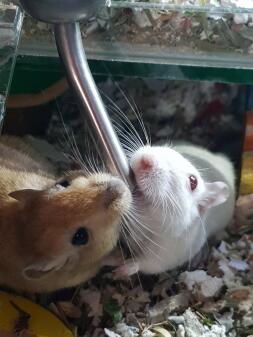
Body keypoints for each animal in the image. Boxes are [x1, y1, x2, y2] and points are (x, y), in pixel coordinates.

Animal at [117, 142, 236, 276]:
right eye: (167, 148)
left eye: (193, 181)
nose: (145, 161)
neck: (149, 223)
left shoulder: (167, 253)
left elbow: (146, 264)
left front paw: (121, 270)